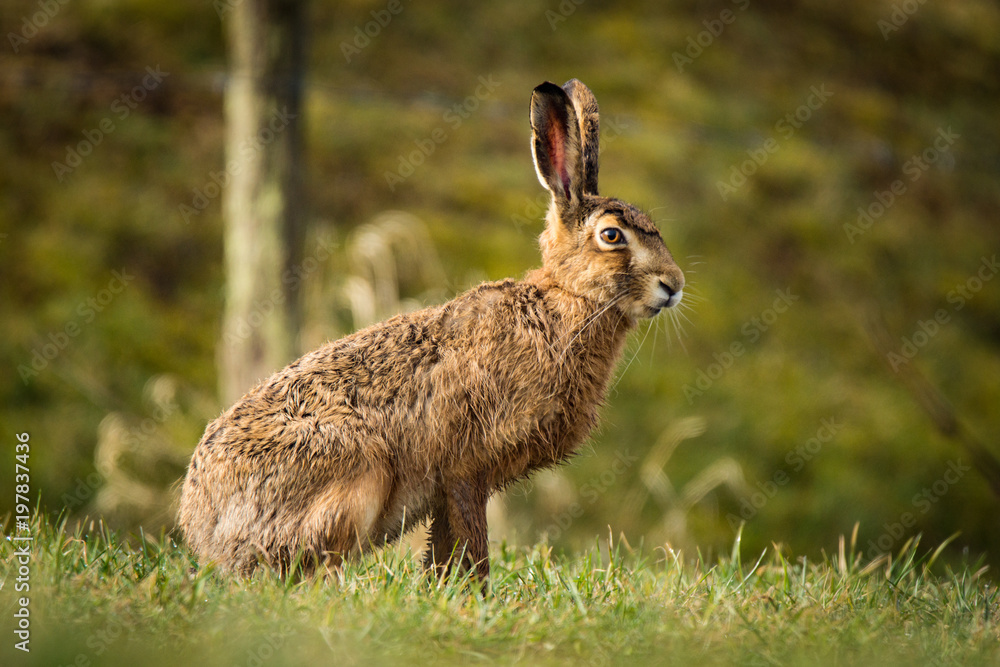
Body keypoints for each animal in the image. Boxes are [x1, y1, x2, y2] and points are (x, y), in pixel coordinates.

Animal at [177, 78, 685, 581]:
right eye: (612, 236)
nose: (674, 285)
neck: (566, 301)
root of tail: (208, 534)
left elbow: (443, 546)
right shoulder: (465, 467)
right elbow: (469, 540)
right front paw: (474, 592)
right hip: (357, 470)